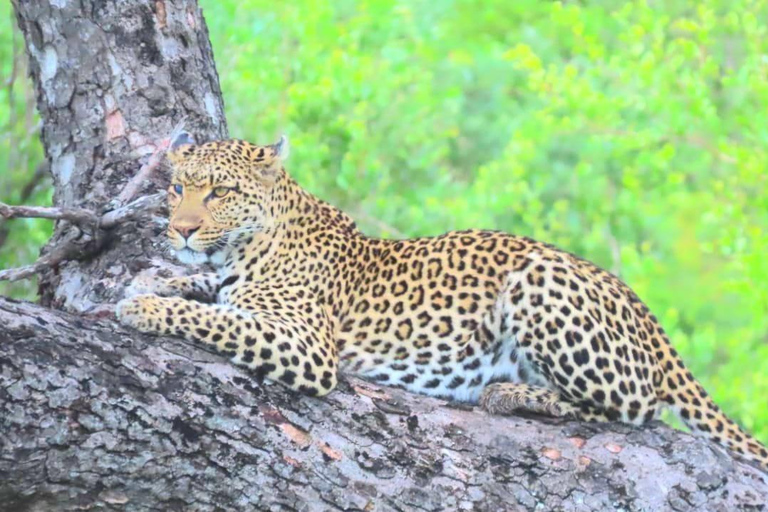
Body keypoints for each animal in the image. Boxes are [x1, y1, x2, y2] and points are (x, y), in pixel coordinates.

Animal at [115, 134, 768, 470]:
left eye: (219, 192)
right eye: (177, 188)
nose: (180, 230)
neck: (249, 245)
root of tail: (636, 301)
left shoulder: (306, 348)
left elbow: (217, 318)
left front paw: (144, 308)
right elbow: (204, 292)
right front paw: (149, 285)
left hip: (538, 282)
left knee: (637, 408)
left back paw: (509, 394)